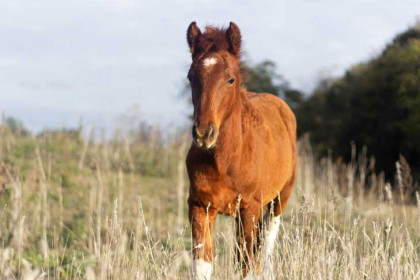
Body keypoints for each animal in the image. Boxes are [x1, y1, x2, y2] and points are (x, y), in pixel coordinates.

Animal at [185, 21, 296, 280]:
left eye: (230, 79)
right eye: (190, 77)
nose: (204, 134)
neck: (227, 159)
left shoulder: (250, 208)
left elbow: (245, 267)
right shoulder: (200, 205)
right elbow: (202, 264)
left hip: (278, 201)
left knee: (265, 249)